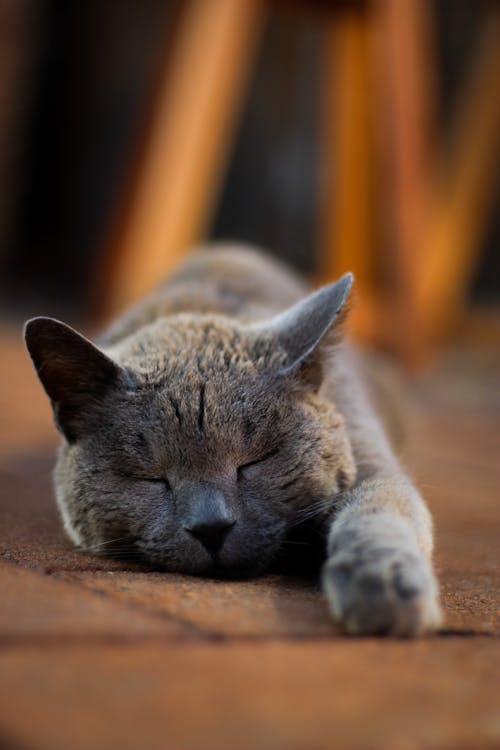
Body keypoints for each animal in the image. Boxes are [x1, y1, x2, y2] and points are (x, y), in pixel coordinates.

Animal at [24, 245, 442, 636]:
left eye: (256, 460)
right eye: (150, 477)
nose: (212, 526)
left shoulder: (368, 453)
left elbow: (376, 510)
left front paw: (384, 588)